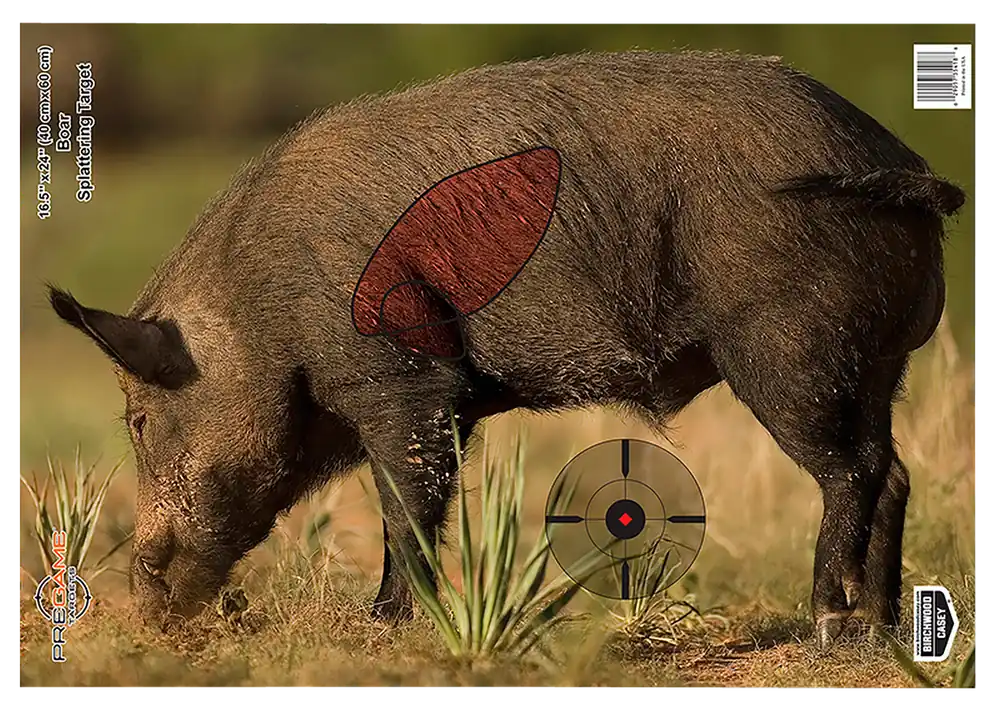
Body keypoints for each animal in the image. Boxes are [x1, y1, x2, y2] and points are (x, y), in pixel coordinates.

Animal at [48, 50, 965, 649]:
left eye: (138, 418)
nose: (141, 602)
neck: (259, 315)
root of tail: (903, 162)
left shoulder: (404, 378)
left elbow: (406, 505)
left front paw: (382, 626)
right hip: (878, 365)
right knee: (893, 470)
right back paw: (883, 629)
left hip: (790, 350)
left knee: (854, 470)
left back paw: (829, 623)